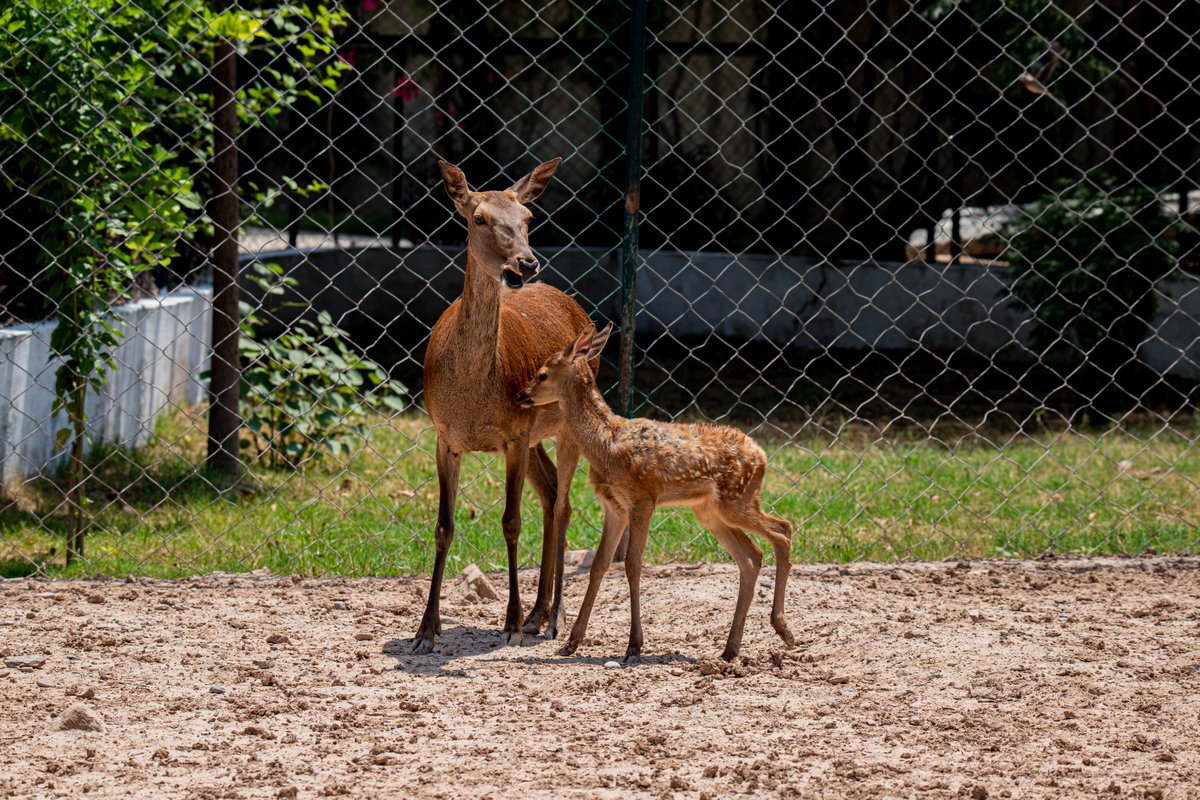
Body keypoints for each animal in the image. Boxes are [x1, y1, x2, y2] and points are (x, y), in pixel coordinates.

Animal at [413, 158, 599, 654]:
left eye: (528, 217)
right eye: (479, 218)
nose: (526, 263)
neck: (474, 396)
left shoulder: (513, 435)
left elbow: (511, 522)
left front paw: (511, 622)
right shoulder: (444, 436)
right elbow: (443, 527)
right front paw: (426, 630)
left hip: (560, 424)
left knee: (562, 503)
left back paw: (546, 617)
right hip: (535, 435)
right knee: (552, 492)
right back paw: (539, 613)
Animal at [516, 323, 798, 664]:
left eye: (542, 374)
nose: (520, 395)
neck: (605, 444)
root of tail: (762, 456)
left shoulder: (642, 499)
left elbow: (632, 564)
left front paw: (634, 646)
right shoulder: (614, 505)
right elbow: (599, 565)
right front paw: (571, 642)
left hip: (737, 500)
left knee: (783, 531)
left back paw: (782, 629)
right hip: (710, 511)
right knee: (752, 556)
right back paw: (730, 650)